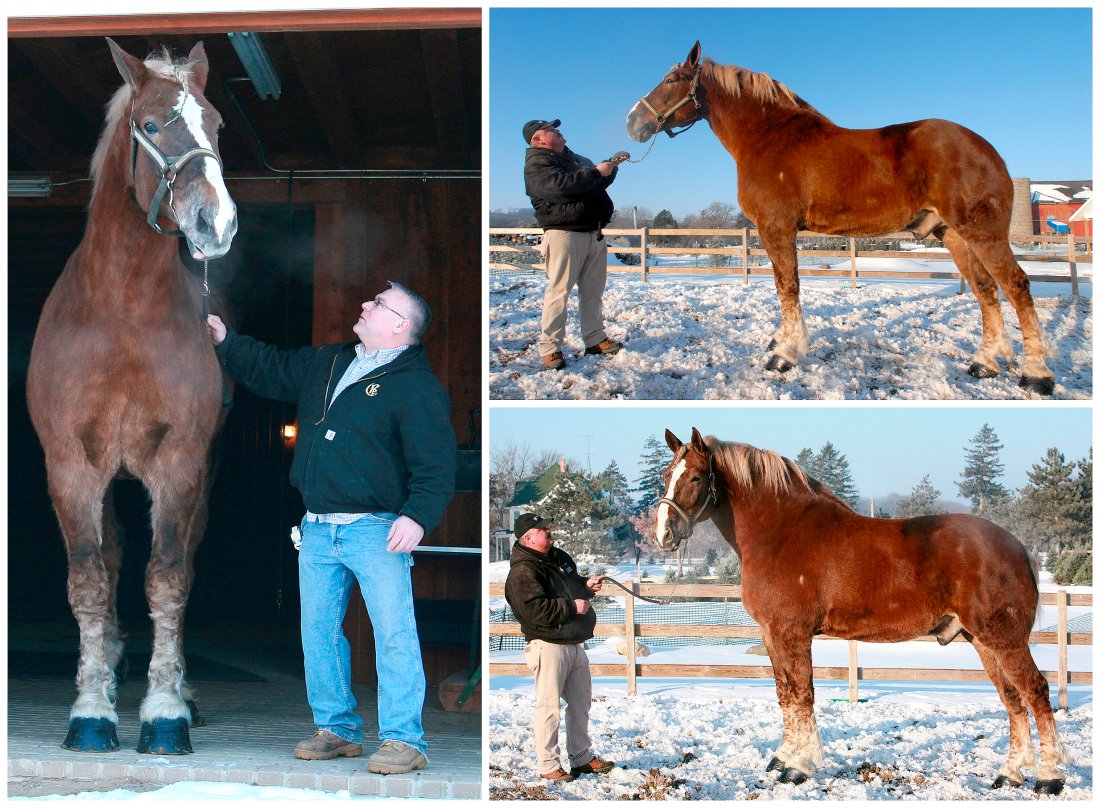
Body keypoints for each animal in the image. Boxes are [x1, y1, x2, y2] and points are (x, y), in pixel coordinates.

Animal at [26, 39, 237, 755]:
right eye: (150, 125)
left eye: (216, 125)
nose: (216, 222)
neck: (122, 311)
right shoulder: (70, 466)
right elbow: (89, 579)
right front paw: (92, 709)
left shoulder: (179, 465)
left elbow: (168, 578)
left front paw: (165, 710)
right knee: (111, 559)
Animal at [626, 43, 1056, 396]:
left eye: (670, 79)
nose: (633, 122)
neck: (769, 137)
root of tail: (987, 149)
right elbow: (784, 287)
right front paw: (780, 342)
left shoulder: (776, 229)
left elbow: (787, 287)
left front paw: (784, 354)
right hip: (954, 236)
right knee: (986, 290)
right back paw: (985, 363)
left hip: (983, 234)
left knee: (1016, 287)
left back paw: (1036, 374)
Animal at [653, 428, 1069, 794]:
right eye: (665, 476)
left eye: (695, 477)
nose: (663, 535)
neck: (781, 532)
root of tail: (1017, 547)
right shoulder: (771, 634)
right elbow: (785, 692)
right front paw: (783, 757)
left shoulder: (792, 632)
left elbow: (802, 693)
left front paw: (799, 766)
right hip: (982, 640)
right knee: (1012, 698)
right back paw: (1009, 774)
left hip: (1005, 640)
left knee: (1036, 691)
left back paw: (1049, 777)